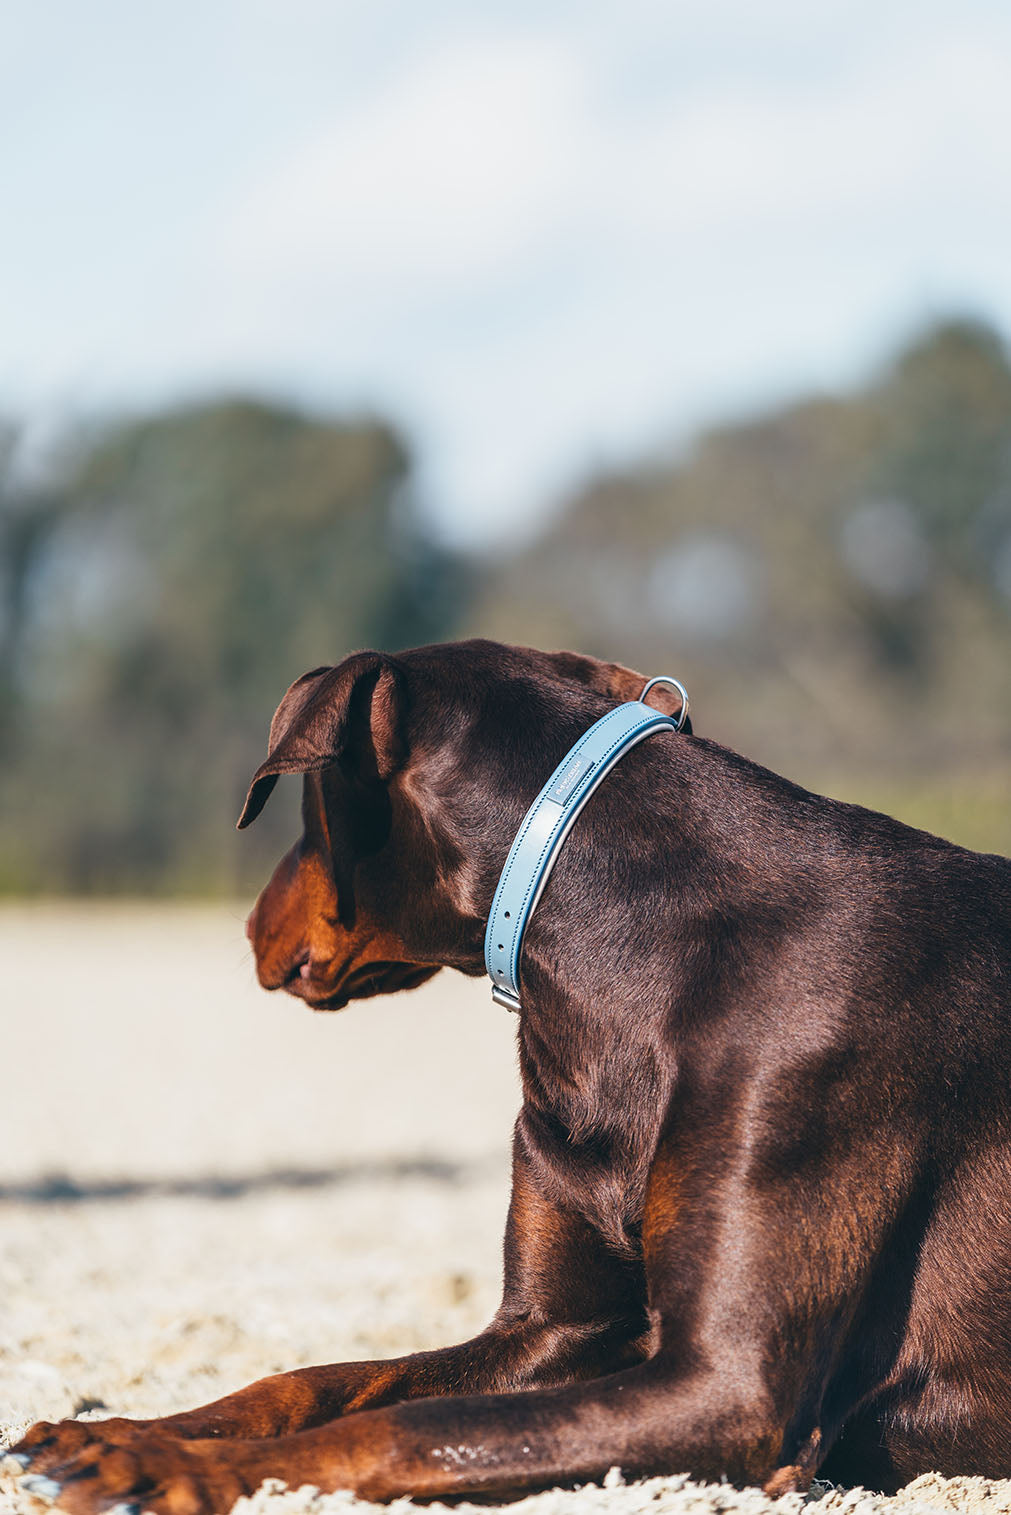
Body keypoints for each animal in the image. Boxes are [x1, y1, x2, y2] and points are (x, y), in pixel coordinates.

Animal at [11, 633, 1011, 1508]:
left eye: (306, 810)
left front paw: (160, 1467)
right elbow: (321, 1379)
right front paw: (123, 1429)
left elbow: (402, 1427)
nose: (250, 923)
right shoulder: (554, 1331)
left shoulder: (731, 1387)